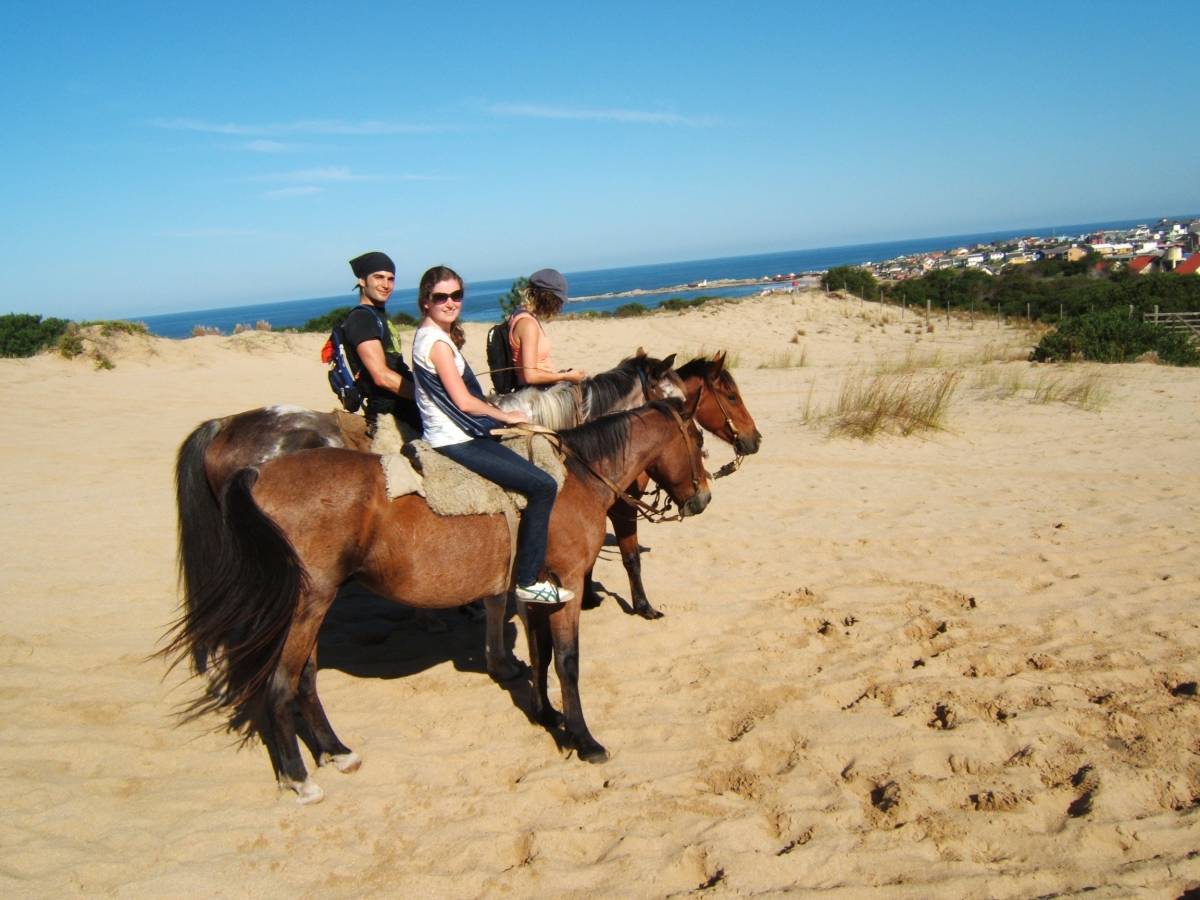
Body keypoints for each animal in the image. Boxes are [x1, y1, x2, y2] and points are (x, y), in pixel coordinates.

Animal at [161, 398, 711, 803]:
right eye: (700, 438)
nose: (703, 498)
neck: (571, 477)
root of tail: (258, 473)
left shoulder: (536, 591)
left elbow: (539, 655)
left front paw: (545, 716)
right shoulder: (568, 587)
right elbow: (568, 663)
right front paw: (584, 739)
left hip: (310, 608)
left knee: (305, 680)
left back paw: (336, 751)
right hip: (305, 606)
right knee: (279, 684)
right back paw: (299, 778)